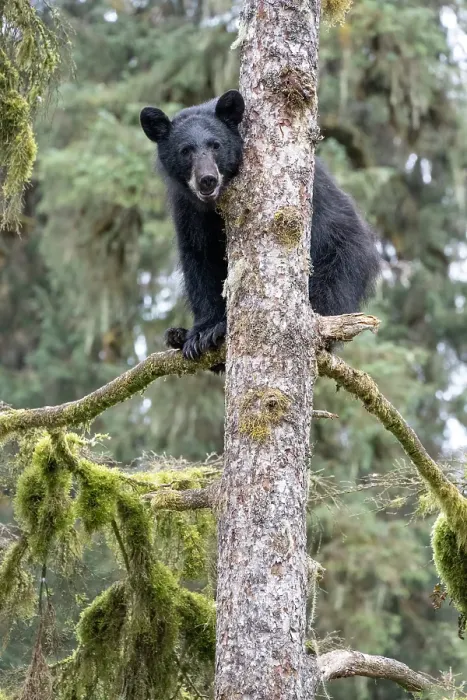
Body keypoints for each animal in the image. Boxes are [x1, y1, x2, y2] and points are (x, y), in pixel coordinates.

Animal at [140, 89, 380, 368]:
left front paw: (213, 331)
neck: (214, 206)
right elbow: (199, 260)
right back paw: (178, 336)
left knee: (330, 291)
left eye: (215, 145)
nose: (207, 179)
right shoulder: (188, 211)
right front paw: (201, 331)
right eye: (185, 150)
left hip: (343, 254)